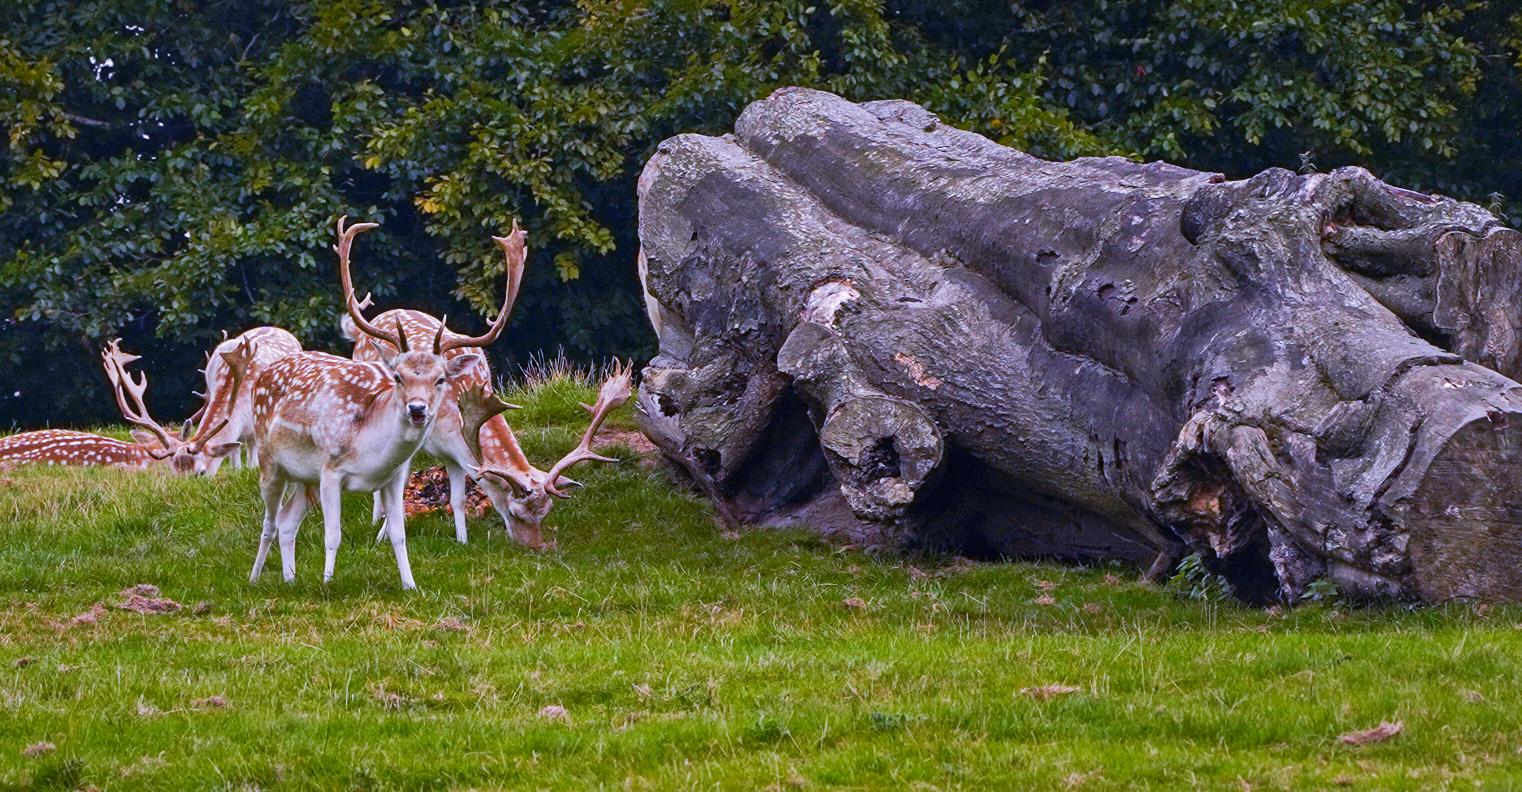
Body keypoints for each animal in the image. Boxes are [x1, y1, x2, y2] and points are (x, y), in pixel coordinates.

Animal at [246, 217, 520, 590]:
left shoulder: (391, 477)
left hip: (303, 478)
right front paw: (328, 583)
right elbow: (333, 534)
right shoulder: (330, 470)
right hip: (269, 461)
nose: (417, 409)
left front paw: (410, 585)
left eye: (440, 379)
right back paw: (254, 579)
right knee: (269, 524)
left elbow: (399, 534)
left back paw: (290, 579)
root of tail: (263, 374)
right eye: (398, 377)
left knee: (287, 522)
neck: (369, 454)